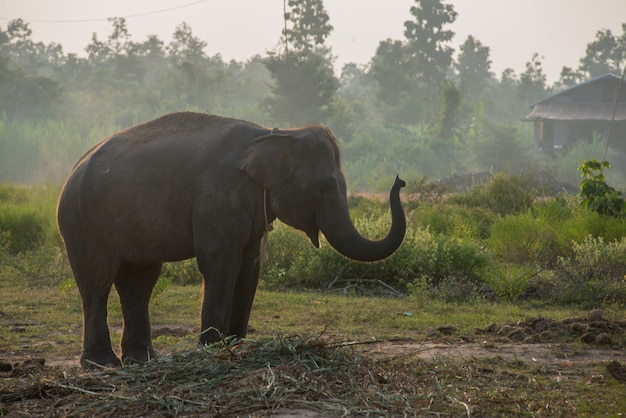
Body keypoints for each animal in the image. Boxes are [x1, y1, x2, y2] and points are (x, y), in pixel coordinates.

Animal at [56, 112, 402, 368]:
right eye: (325, 187)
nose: (400, 180)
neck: (274, 133)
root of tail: (72, 170)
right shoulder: (217, 194)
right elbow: (219, 262)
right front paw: (212, 350)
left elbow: (250, 267)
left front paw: (238, 346)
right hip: (82, 222)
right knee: (97, 282)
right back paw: (102, 364)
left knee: (139, 282)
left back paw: (143, 361)